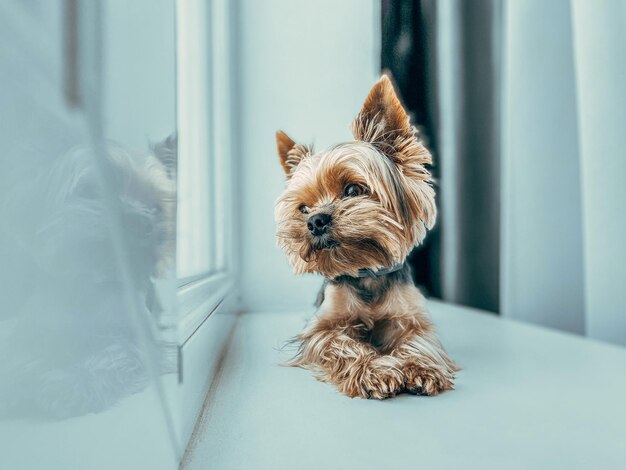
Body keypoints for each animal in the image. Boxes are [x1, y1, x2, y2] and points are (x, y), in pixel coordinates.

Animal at [276, 75, 456, 398]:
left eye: (352, 189)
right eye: (303, 208)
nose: (314, 221)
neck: (366, 272)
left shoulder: (410, 319)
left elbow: (419, 341)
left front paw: (421, 368)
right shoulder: (321, 328)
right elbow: (341, 343)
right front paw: (375, 371)